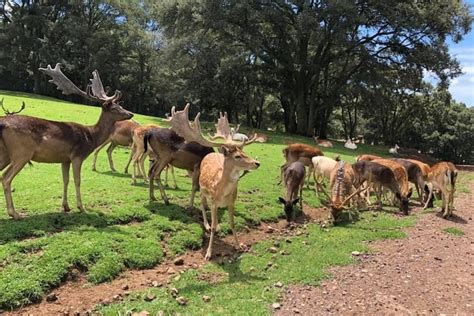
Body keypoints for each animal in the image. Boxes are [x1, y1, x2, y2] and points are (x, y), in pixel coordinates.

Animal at [0, 63, 132, 218]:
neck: (91, 137)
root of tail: (3, 123)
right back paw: (14, 213)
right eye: (115, 108)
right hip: (22, 153)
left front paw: (66, 206)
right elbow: (77, 181)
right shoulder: (77, 156)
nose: (131, 114)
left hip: (5, 154)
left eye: (121, 106)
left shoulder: (65, 160)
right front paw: (81, 207)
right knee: (6, 177)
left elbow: (65, 180)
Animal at [166, 105, 262, 260]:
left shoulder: (231, 202)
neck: (223, 192)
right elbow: (214, 223)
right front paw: (209, 253)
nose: (257, 163)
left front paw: (238, 245)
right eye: (237, 156)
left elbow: (232, 223)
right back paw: (206, 224)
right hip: (202, 188)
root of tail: (211, 153)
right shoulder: (214, 202)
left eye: (245, 153)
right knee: (201, 203)